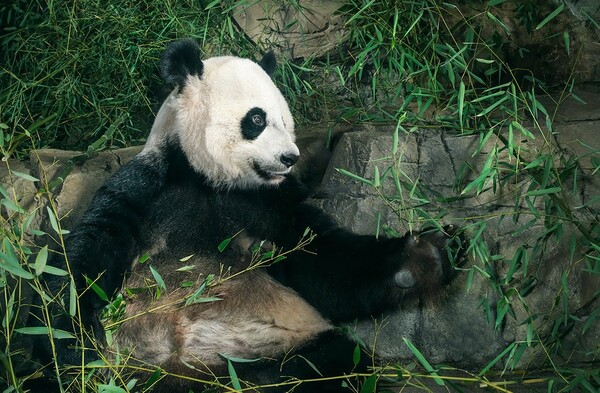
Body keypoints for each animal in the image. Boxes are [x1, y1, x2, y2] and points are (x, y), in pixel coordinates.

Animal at [36, 38, 460, 390]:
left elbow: (325, 263)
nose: (290, 157)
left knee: (330, 363)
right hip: (143, 363)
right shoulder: (148, 188)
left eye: (286, 120)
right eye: (257, 119)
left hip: (273, 344)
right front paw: (72, 348)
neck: (210, 180)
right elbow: (87, 261)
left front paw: (424, 258)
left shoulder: (273, 206)